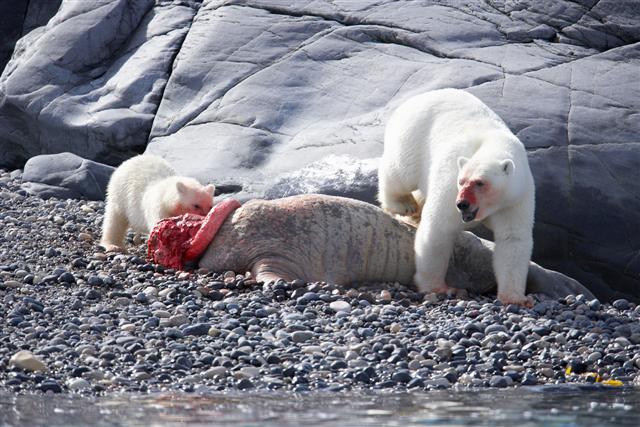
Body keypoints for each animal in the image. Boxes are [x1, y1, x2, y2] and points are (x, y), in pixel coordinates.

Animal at [380, 88, 536, 306]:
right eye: (462, 181)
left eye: (480, 183)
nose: (462, 204)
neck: (494, 143)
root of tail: (416, 98)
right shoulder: (450, 183)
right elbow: (439, 228)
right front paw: (438, 287)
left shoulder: (515, 198)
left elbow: (513, 240)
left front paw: (515, 298)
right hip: (412, 136)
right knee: (400, 173)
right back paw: (404, 205)